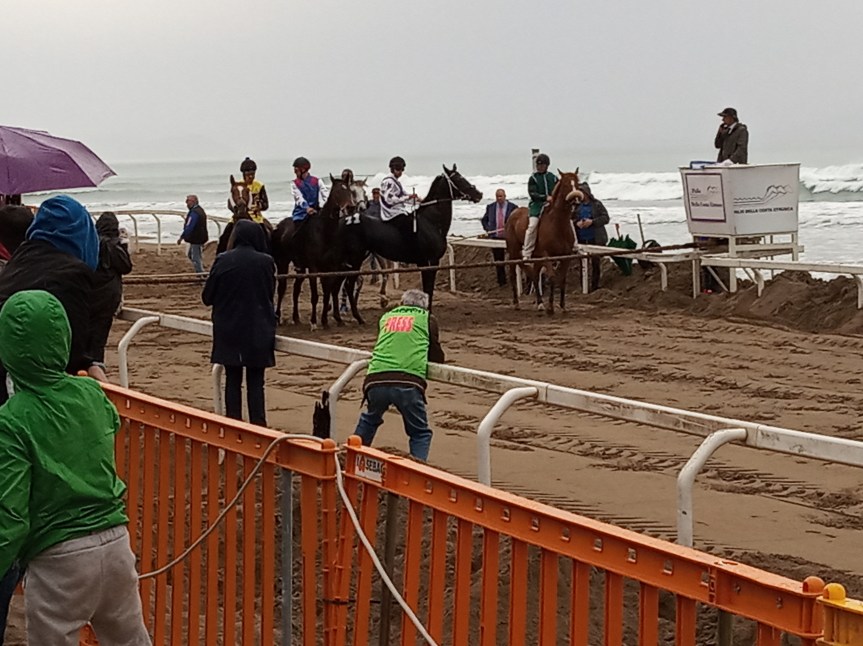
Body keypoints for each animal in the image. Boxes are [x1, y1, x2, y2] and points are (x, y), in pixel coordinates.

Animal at [354, 164, 482, 310]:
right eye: (459, 178)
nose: (479, 194)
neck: (431, 222)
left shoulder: (428, 262)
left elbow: (428, 290)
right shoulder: (429, 262)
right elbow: (428, 291)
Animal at [505, 169, 582, 314]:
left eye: (577, 183)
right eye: (565, 184)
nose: (576, 201)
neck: (558, 224)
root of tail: (514, 212)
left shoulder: (566, 256)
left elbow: (562, 278)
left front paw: (562, 305)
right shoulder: (547, 255)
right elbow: (551, 277)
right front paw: (551, 306)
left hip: (536, 257)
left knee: (535, 275)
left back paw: (540, 303)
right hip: (513, 251)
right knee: (513, 274)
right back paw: (517, 303)